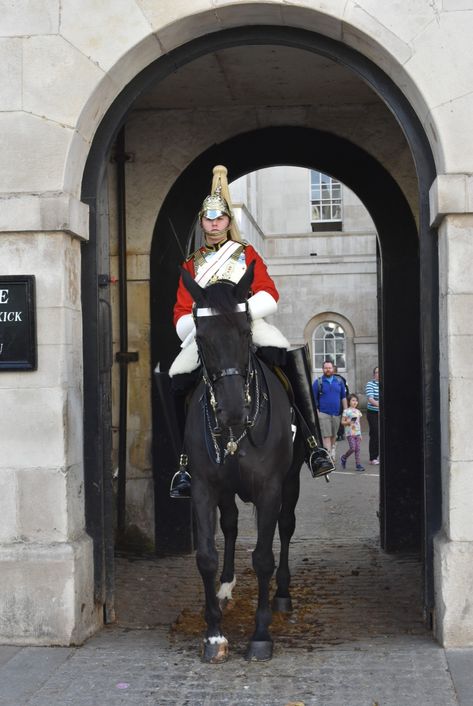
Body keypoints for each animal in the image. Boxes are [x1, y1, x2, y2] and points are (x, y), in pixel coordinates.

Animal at [181, 262, 306, 660]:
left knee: (286, 526)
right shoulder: (205, 488)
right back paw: (226, 586)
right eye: (202, 338)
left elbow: (264, 557)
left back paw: (282, 594)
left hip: (291, 482)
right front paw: (214, 633)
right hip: (226, 490)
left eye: (245, 331)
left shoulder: (270, 488)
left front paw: (261, 634)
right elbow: (206, 555)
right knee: (232, 525)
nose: (234, 412)